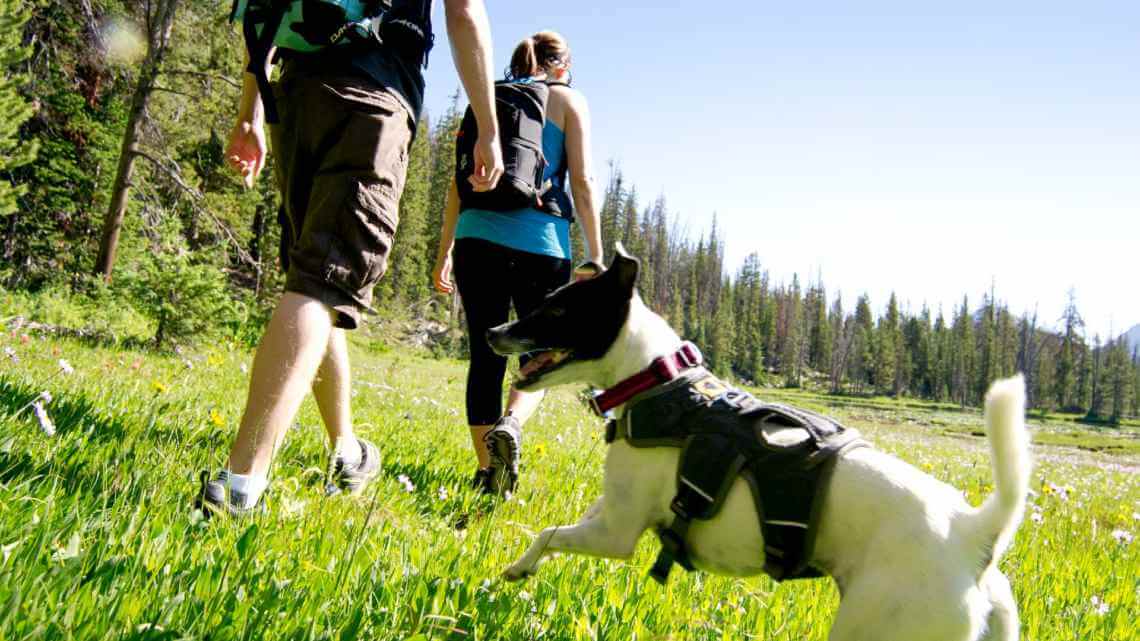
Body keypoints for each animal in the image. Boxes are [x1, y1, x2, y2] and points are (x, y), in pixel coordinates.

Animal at [485, 245, 1030, 638]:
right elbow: (562, 526)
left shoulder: (614, 536)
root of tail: (973, 533)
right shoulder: (610, 511)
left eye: (557, 310)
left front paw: (517, 568)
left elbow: (548, 534)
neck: (658, 379)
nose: (492, 330)